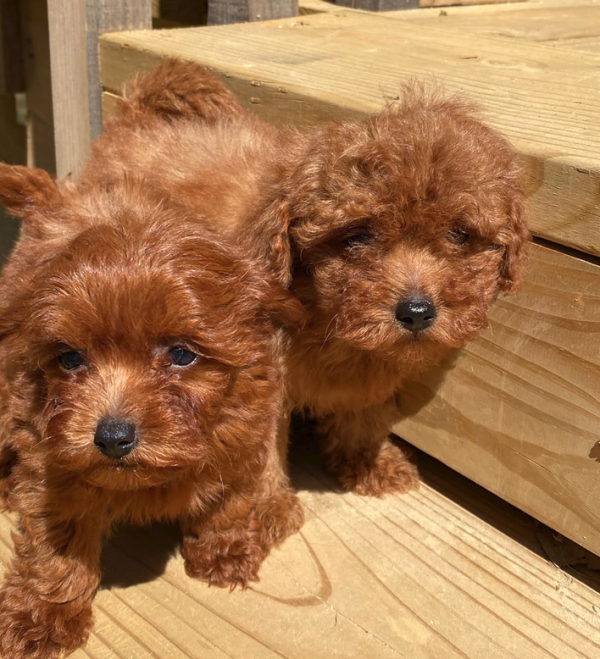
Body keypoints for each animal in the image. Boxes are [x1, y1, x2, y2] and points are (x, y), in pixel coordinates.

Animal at [0, 134, 302, 656]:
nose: (112, 437)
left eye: (181, 355)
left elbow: (235, 492)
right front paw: (41, 616)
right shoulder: (48, 456)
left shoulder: (244, 424)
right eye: (70, 359)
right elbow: (54, 541)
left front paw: (226, 548)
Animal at [86, 62, 528, 500]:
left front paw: (368, 462)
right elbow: (260, 450)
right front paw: (267, 506)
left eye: (460, 235)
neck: (321, 311)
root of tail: (134, 118)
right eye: (357, 237)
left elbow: (364, 410)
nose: (417, 311)